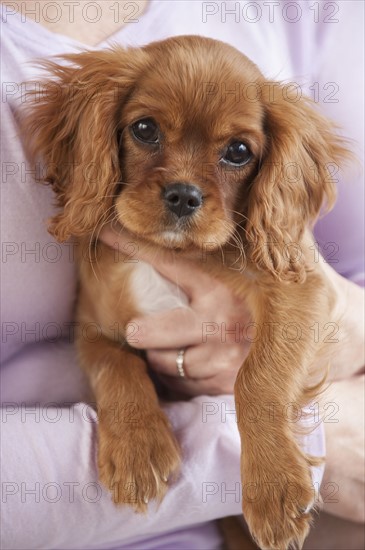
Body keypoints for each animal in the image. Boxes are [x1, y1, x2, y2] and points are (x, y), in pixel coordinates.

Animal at [24, 36, 348, 548]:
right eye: (144, 129)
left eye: (238, 151)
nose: (183, 195)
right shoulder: (93, 324)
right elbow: (117, 366)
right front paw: (138, 449)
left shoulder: (301, 290)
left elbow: (257, 377)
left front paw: (273, 486)